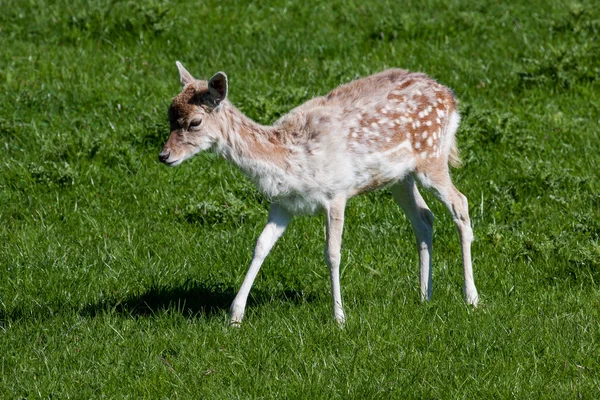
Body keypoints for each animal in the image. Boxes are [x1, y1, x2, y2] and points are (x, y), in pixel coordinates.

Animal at [158, 61, 478, 324]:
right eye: (169, 115)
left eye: (195, 122)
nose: (164, 155)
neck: (290, 157)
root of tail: (451, 97)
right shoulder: (283, 203)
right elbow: (260, 245)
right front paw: (235, 315)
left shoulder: (336, 192)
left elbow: (332, 252)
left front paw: (339, 317)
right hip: (399, 177)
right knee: (424, 217)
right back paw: (424, 295)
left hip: (432, 156)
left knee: (460, 203)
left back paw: (471, 298)